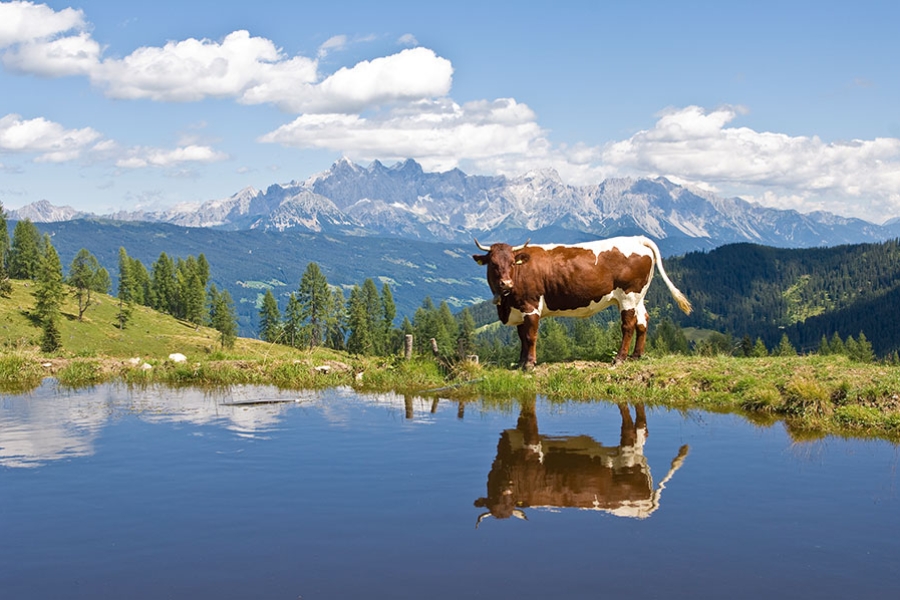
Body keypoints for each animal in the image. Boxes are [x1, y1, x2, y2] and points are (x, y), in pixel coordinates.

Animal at [474, 236, 692, 368]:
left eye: (512, 263)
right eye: (493, 264)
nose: (506, 283)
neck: (506, 304)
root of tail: (636, 238)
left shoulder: (531, 306)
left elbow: (530, 336)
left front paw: (529, 364)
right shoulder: (520, 309)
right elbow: (521, 337)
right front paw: (519, 363)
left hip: (628, 296)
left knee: (628, 325)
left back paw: (619, 358)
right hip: (639, 297)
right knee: (643, 321)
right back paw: (636, 355)